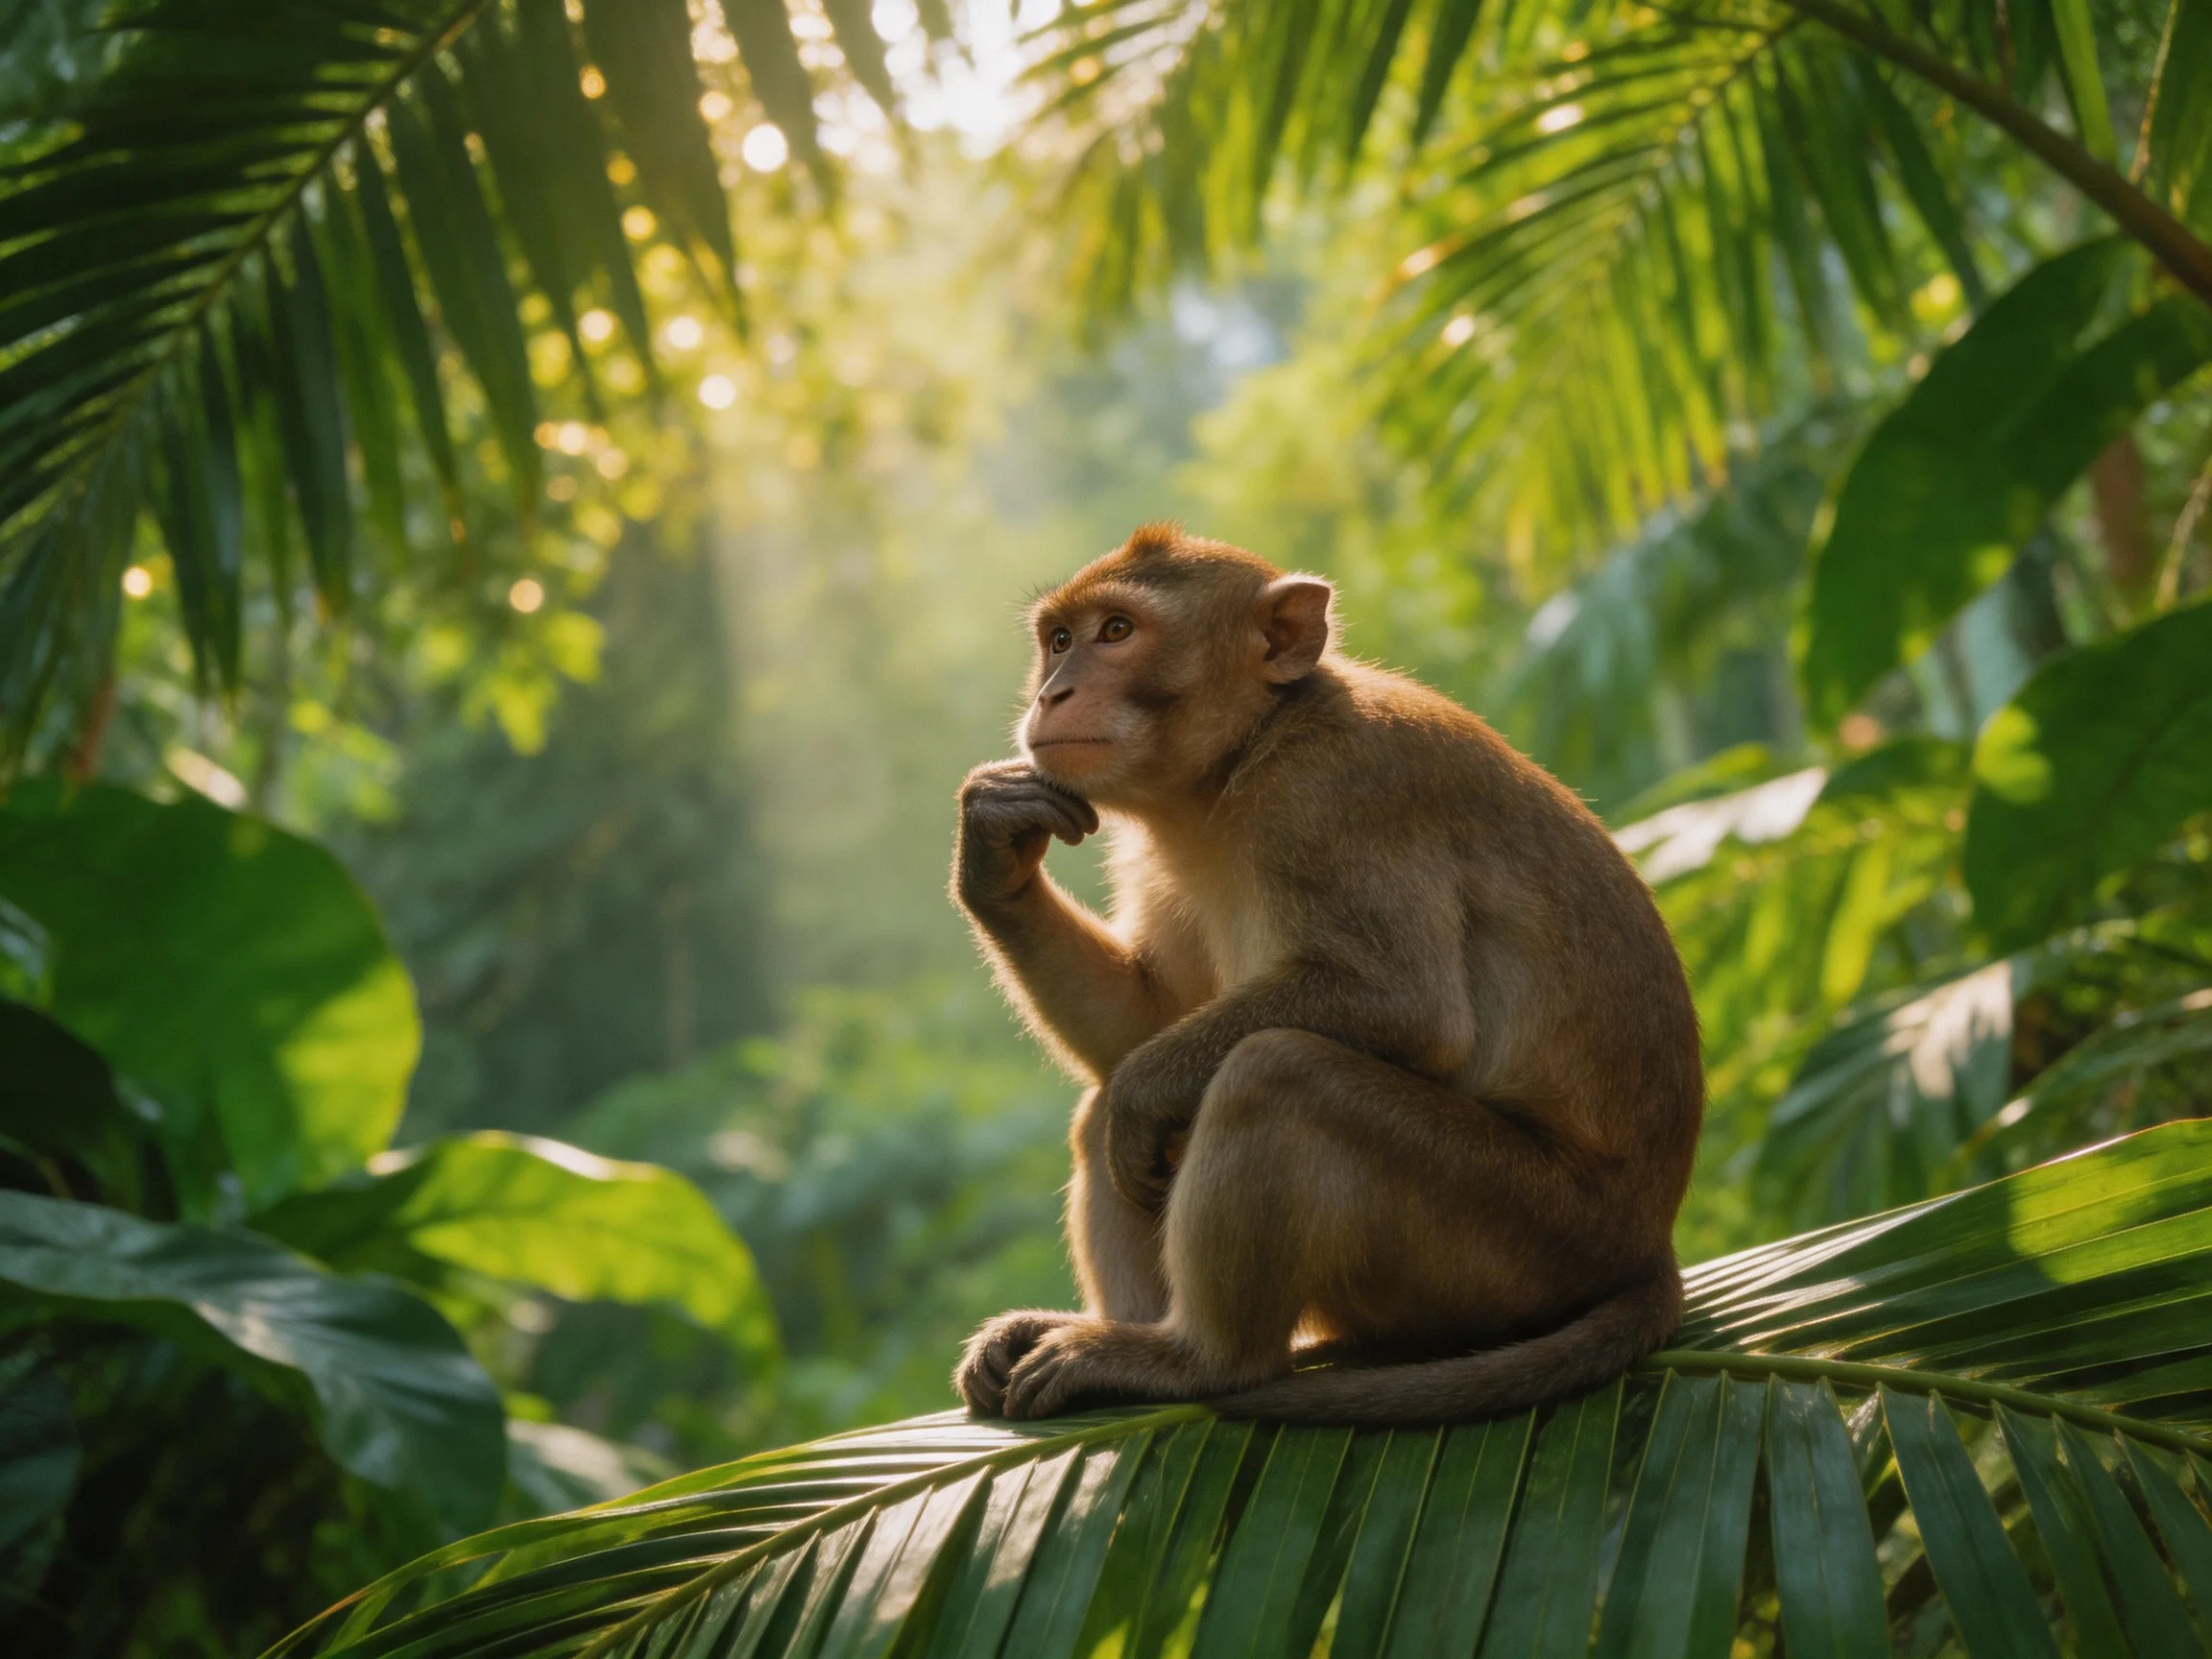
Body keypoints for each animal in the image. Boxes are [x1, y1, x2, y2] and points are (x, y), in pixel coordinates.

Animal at [949, 524, 1702, 1424]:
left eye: (1118, 632)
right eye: (1060, 640)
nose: (1054, 693)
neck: (1245, 755)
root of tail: (1645, 1241)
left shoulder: (1330, 795)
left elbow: (1410, 1007)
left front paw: (1144, 1090)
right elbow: (1147, 1015)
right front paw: (994, 855)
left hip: (1524, 1238)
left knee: (1275, 1073)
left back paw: (1194, 1360)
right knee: (1117, 1108)